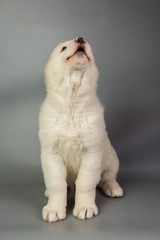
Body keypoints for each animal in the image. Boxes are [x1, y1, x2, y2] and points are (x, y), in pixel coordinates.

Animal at [38, 36, 124, 222]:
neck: (72, 104)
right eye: (63, 48)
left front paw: (85, 208)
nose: (80, 39)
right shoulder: (51, 154)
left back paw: (113, 188)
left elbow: (85, 183)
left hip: (112, 159)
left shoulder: (91, 154)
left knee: (107, 177)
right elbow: (56, 184)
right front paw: (54, 209)